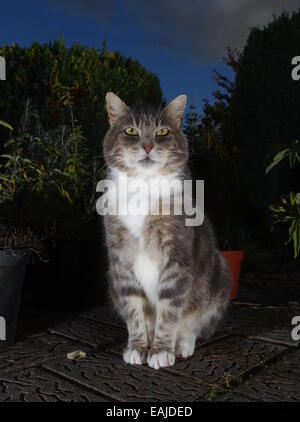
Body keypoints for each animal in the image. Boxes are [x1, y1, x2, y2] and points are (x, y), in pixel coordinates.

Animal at [102, 92, 231, 370]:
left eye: (162, 131)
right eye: (131, 130)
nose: (148, 146)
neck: (143, 187)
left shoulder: (177, 258)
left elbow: (170, 309)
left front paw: (161, 351)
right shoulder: (121, 260)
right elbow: (134, 310)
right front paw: (138, 347)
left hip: (219, 277)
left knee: (192, 325)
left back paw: (182, 345)